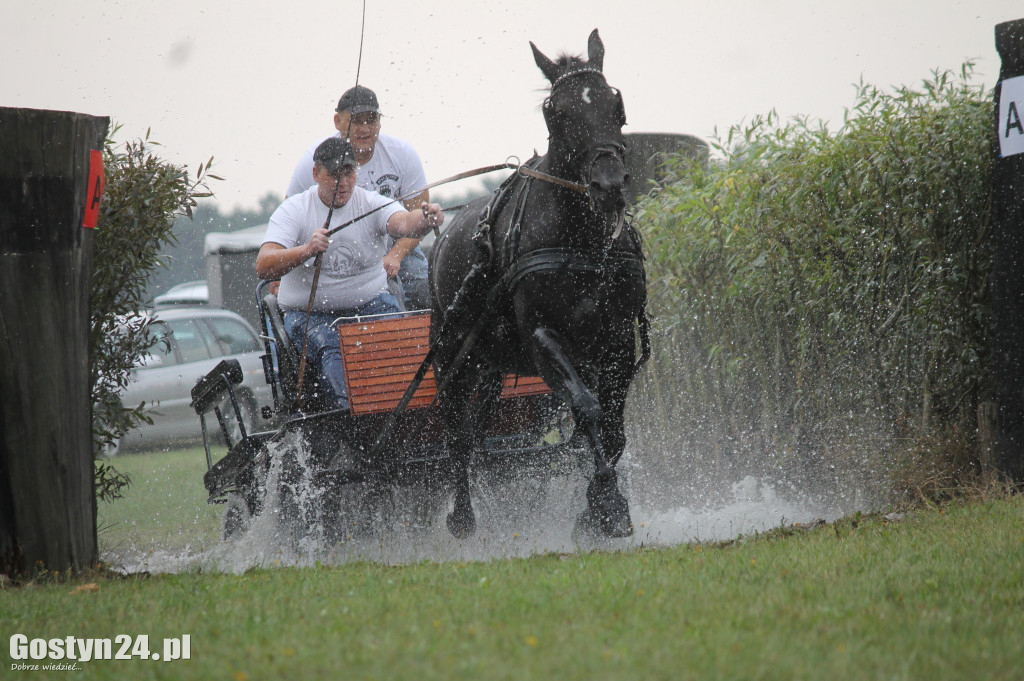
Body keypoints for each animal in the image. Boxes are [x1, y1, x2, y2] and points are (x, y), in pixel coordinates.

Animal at [428, 30, 643, 536]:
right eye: (556, 112)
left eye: (616, 103)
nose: (609, 186)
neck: (585, 244)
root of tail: (442, 233)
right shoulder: (544, 338)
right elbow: (587, 408)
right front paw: (608, 503)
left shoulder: (618, 341)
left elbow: (613, 429)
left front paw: (595, 508)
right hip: (452, 357)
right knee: (456, 434)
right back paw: (461, 516)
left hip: (491, 364)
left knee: (476, 430)